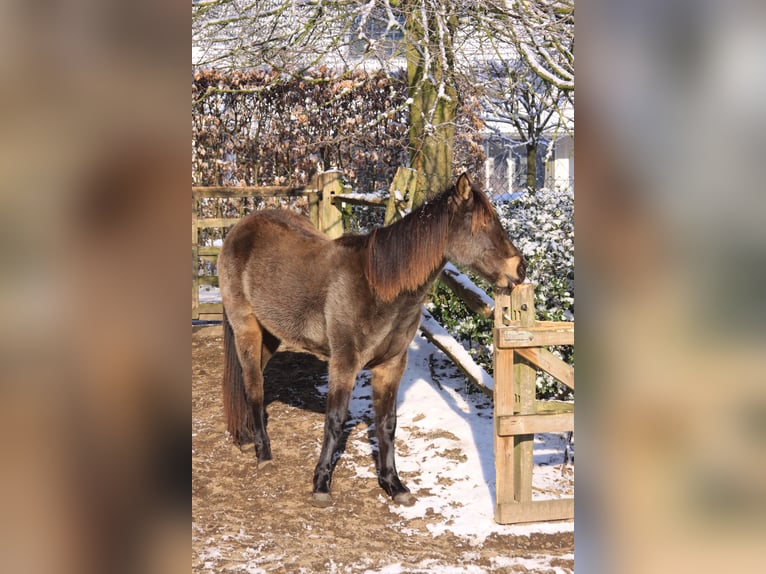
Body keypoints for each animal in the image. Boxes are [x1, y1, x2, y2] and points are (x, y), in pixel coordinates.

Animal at [218, 173, 526, 507]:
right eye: (482, 224)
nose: (519, 269)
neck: (376, 287)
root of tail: (240, 228)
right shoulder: (344, 362)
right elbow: (335, 419)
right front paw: (321, 485)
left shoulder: (391, 366)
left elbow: (387, 424)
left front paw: (394, 484)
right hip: (247, 328)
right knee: (253, 387)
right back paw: (263, 453)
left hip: (271, 335)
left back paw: (246, 436)